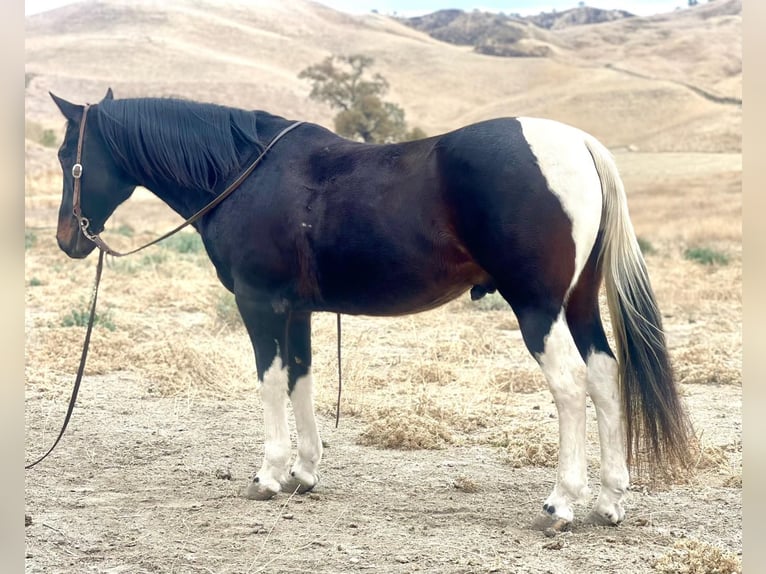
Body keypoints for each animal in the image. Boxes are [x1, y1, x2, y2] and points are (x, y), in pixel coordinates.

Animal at [49, 88, 696, 528]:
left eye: (64, 155)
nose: (68, 239)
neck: (244, 174)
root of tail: (577, 143)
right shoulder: (298, 310)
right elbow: (301, 379)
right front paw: (305, 473)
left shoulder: (260, 304)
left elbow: (270, 382)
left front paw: (269, 475)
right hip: (578, 304)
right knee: (606, 379)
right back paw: (609, 501)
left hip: (538, 308)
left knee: (570, 385)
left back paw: (561, 504)